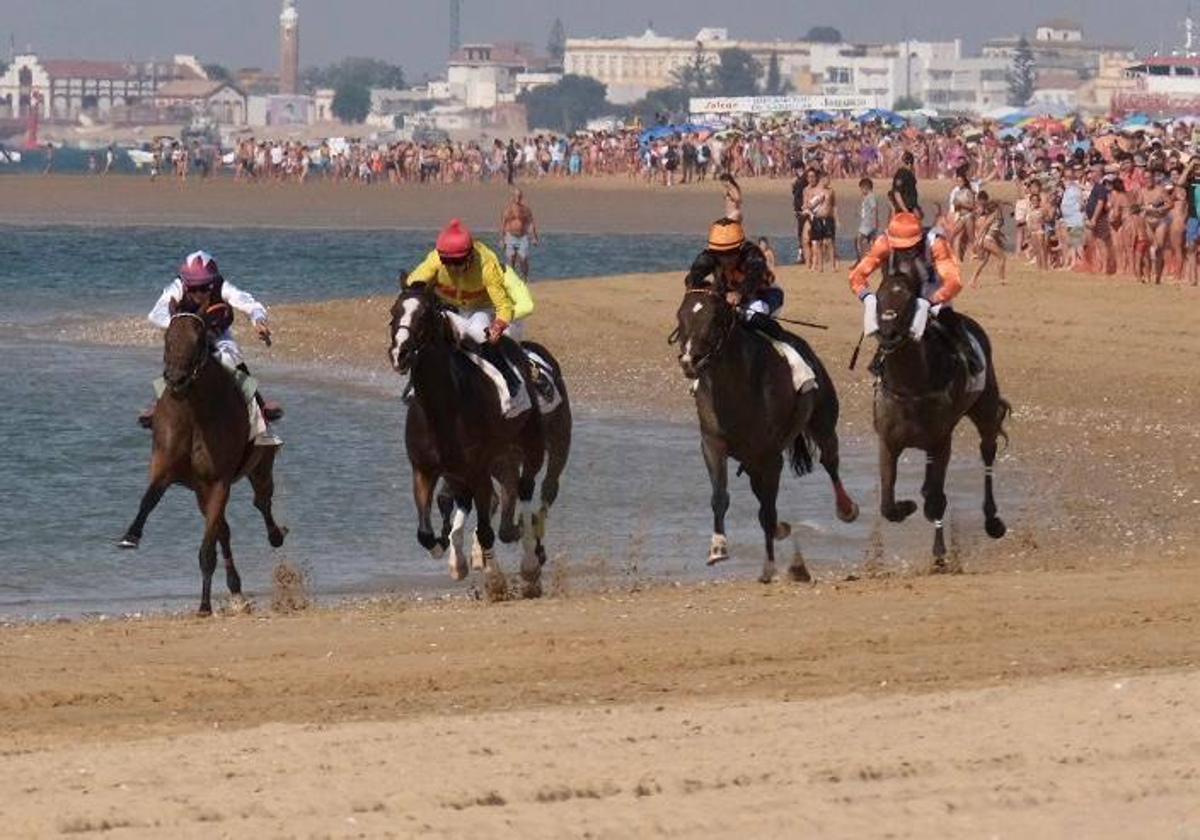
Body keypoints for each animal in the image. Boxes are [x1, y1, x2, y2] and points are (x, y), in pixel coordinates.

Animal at [117, 312, 288, 614]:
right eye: (167, 337)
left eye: (198, 341)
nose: (176, 378)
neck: (194, 412)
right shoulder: (166, 470)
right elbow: (149, 498)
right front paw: (131, 535)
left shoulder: (219, 481)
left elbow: (207, 548)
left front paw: (205, 605)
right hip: (201, 491)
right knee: (224, 529)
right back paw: (235, 587)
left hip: (260, 466)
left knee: (261, 501)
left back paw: (275, 536)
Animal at [386, 278, 549, 592]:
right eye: (393, 311)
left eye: (425, 315)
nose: (400, 354)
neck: (441, 406)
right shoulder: (424, 469)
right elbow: (424, 533)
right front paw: (444, 548)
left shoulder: (477, 468)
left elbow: (485, 529)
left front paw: (494, 579)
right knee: (470, 498)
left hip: (530, 444)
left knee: (523, 491)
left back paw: (529, 564)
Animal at [676, 289, 864, 583]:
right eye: (680, 315)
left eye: (715, 318)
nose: (689, 361)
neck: (736, 387)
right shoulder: (713, 444)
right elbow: (721, 495)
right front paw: (718, 548)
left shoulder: (771, 455)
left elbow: (767, 509)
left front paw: (768, 566)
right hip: (751, 460)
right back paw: (781, 529)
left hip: (822, 422)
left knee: (830, 461)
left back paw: (846, 508)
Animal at [873, 254, 1012, 571]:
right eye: (879, 296)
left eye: (908, 300)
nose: (888, 334)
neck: (910, 385)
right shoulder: (888, 442)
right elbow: (887, 504)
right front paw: (907, 506)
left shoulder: (941, 440)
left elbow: (937, 498)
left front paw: (939, 552)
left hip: (984, 409)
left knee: (988, 452)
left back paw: (993, 520)